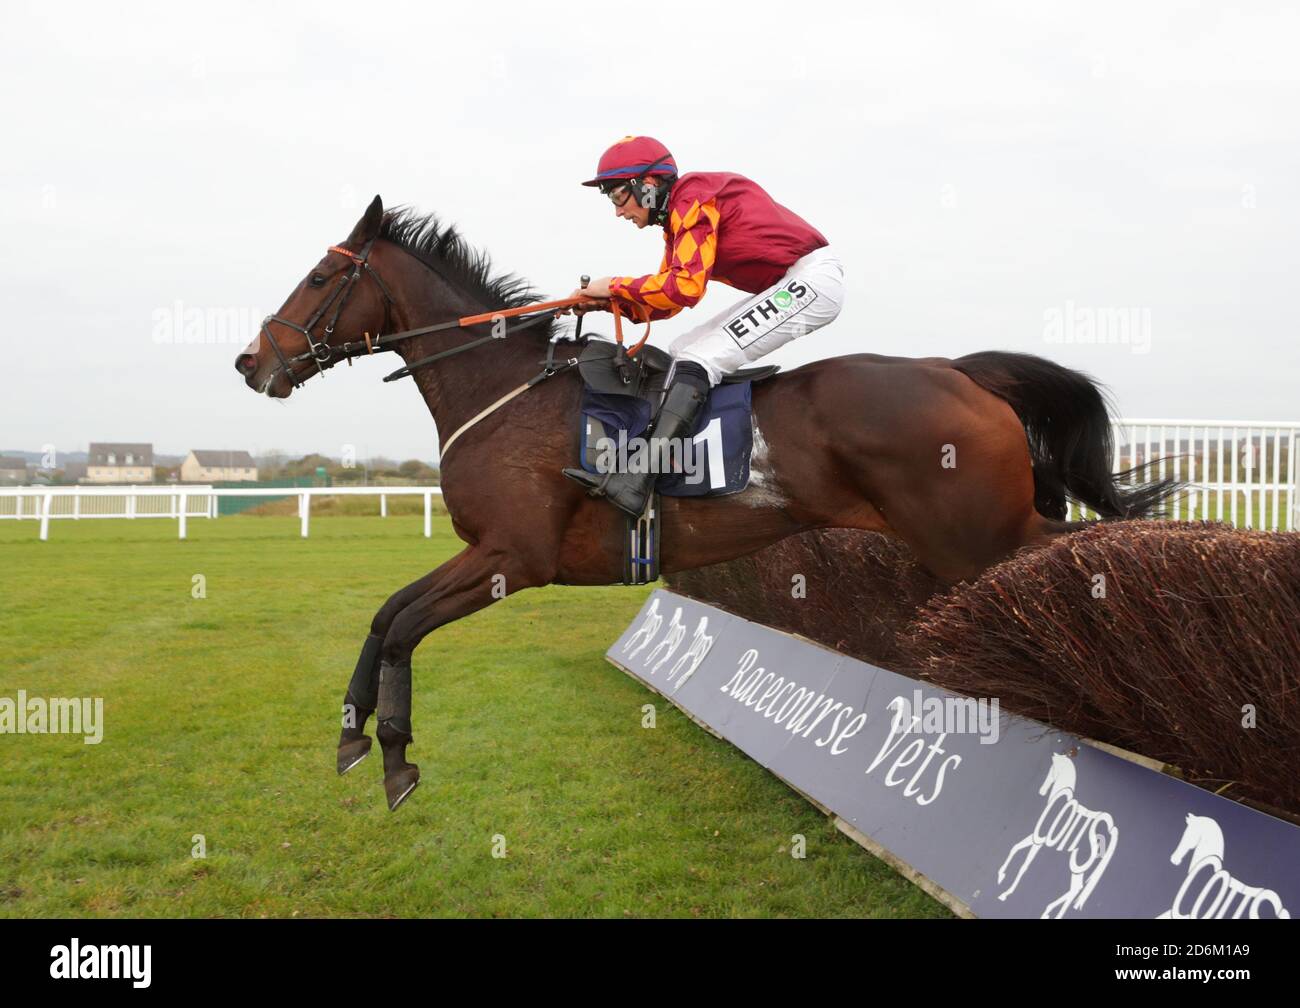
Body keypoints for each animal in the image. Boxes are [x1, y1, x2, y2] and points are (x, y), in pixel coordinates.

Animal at [233, 197, 1180, 811]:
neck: (502, 388)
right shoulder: (488, 556)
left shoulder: (512, 558)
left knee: (1072, 556)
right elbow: (385, 614)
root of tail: (959, 371)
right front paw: (357, 737)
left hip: (977, 533)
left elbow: (402, 625)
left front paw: (394, 755)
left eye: (317, 277)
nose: (252, 363)